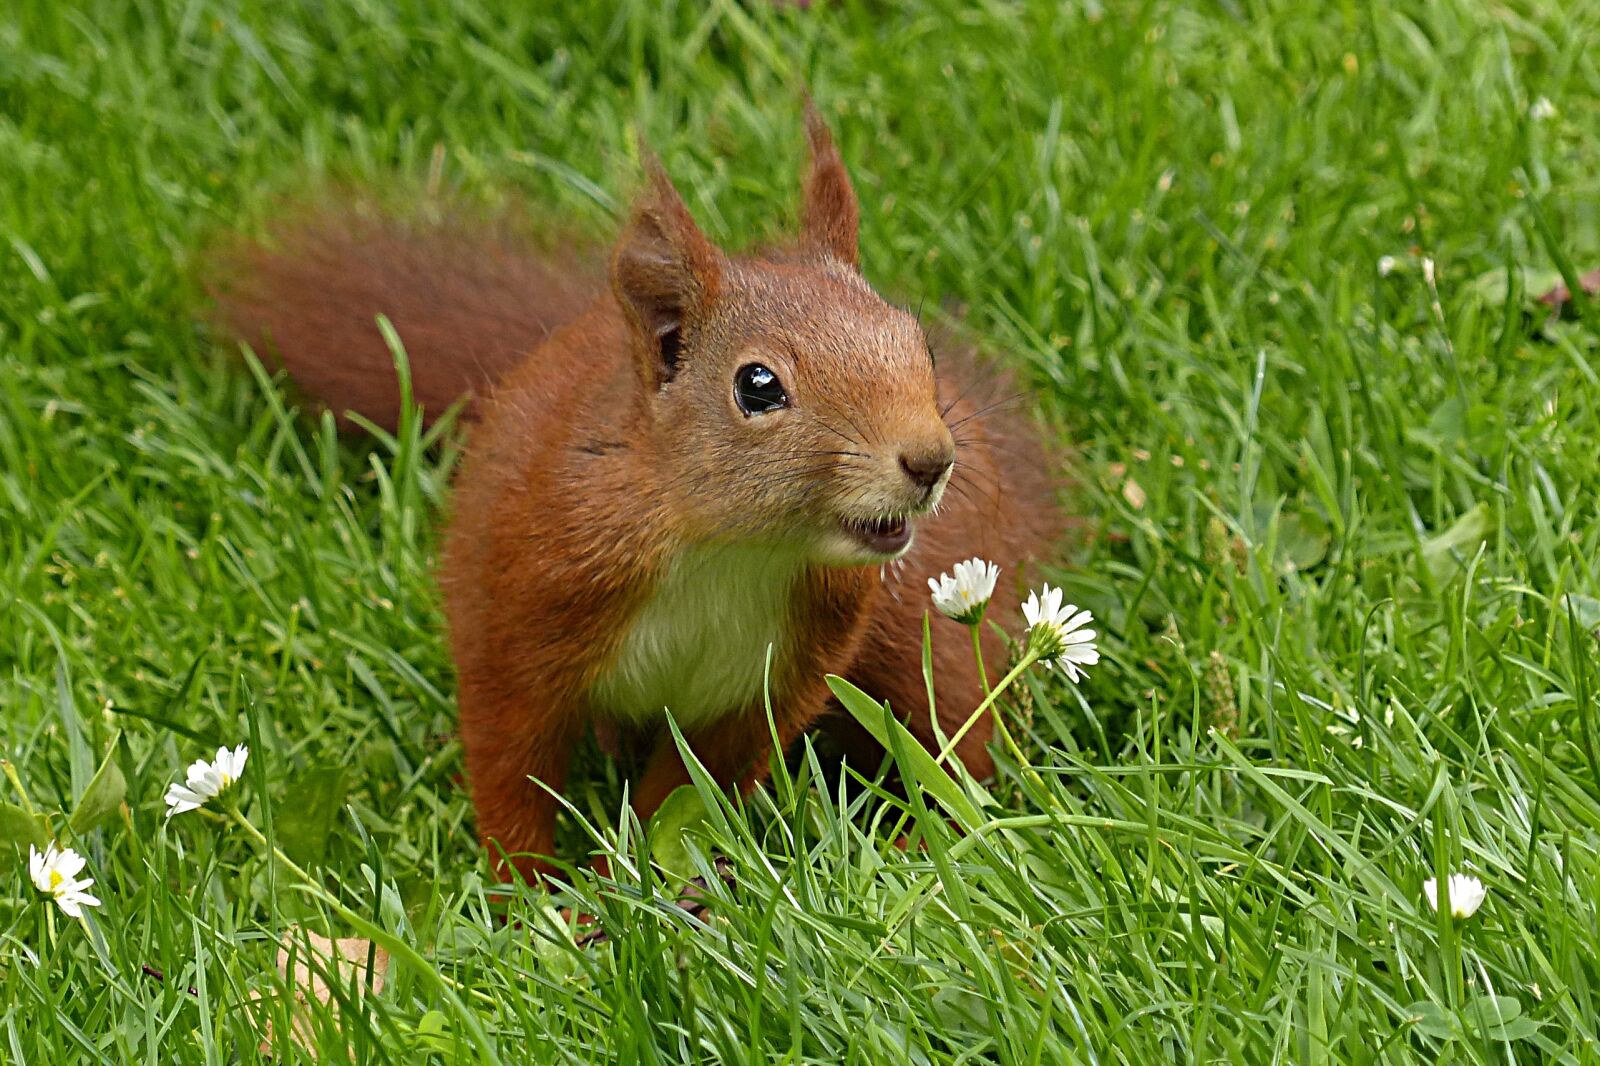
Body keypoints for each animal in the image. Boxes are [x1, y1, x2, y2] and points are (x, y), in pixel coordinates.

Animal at [212, 111, 1063, 881]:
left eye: (918, 345)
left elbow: (692, 786)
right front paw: (526, 895)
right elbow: (508, 752)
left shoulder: (782, 671)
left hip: (927, 629)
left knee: (954, 735)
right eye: (758, 386)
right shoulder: (523, 597)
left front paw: (630, 877)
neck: (730, 549)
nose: (930, 459)